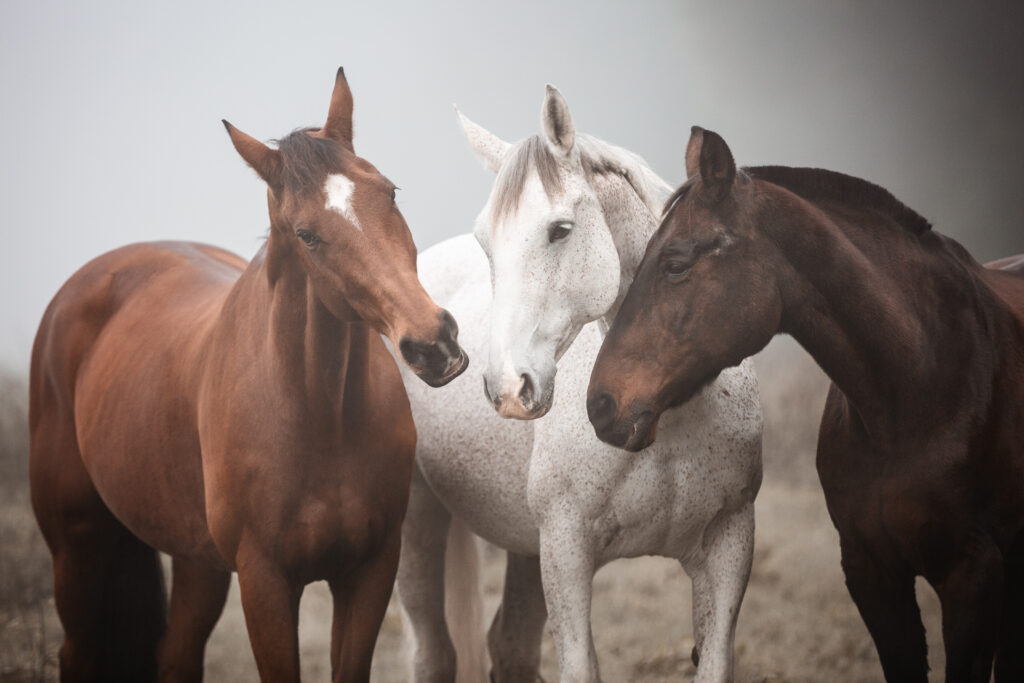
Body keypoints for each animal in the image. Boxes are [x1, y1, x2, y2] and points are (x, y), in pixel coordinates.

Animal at [28, 68, 468, 683]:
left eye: (391, 192)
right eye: (306, 235)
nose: (434, 344)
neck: (322, 420)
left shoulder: (370, 573)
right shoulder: (265, 582)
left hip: (196, 561)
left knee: (177, 654)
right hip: (77, 544)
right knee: (79, 652)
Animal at [395, 87, 765, 683]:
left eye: (560, 230)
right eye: (486, 243)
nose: (508, 387)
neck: (665, 413)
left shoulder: (729, 546)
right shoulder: (567, 554)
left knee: (510, 647)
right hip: (420, 523)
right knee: (433, 653)